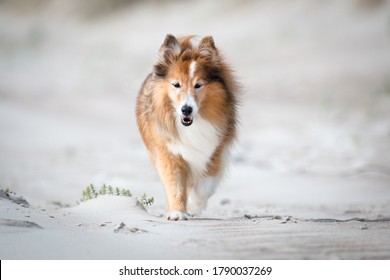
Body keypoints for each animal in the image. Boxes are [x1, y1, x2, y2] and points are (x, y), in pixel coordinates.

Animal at [137, 34, 241, 220]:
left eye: (198, 85)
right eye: (176, 84)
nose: (186, 109)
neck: (191, 126)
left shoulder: (216, 150)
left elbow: (206, 182)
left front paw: (194, 204)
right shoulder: (168, 153)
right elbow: (175, 185)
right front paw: (177, 212)